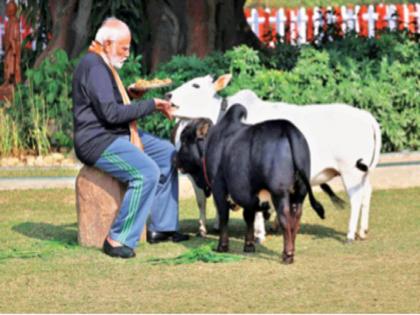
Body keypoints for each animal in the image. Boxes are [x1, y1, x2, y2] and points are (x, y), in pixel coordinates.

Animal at [167, 74, 380, 242]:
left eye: (195, 85)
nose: (168, 95)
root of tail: (366, 116)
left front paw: (258, 234)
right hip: (363, 174)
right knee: (366, 194)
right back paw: (362, 231)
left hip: (350, 171)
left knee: (356, 198)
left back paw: (350, 234)